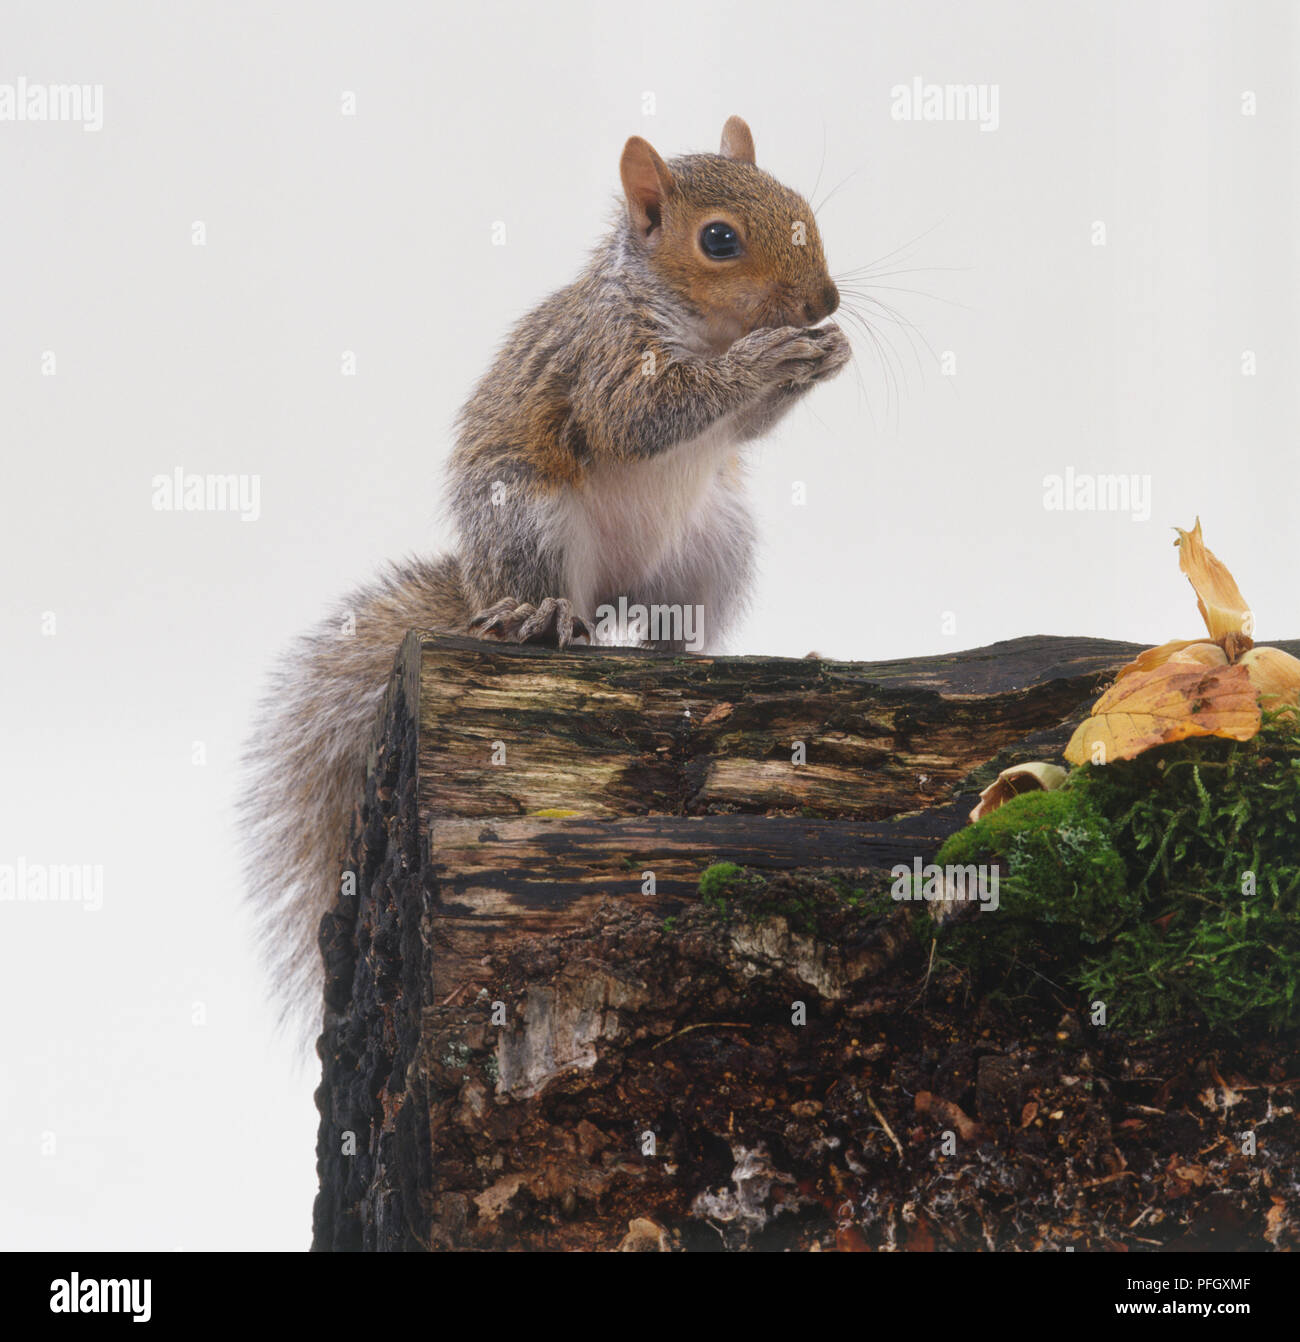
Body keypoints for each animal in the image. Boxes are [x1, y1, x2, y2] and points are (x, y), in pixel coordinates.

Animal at [241, 115, 850, 1030]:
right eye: (719, 240)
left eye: (804, 209)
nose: (826, 305)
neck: (699, 324)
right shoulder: (606, 361)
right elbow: (640, 417)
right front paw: (765, 360)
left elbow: (741, 433)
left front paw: (827, 355)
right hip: (528, 518)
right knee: (550, 598)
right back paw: (547, 619)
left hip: (715, 546)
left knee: (672, 635)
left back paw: (705, 657)